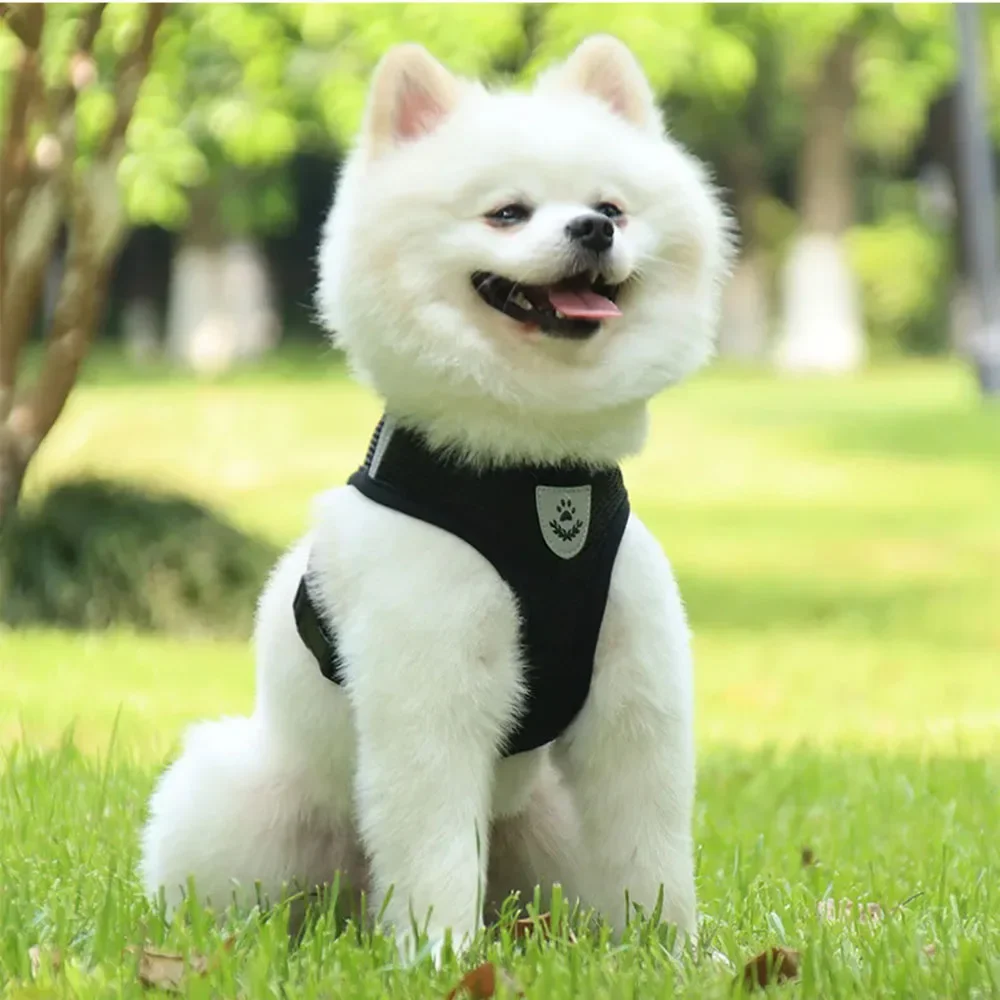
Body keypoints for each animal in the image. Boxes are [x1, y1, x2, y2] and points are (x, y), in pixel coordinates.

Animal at [140, 35, 733, 963]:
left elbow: (653, 845)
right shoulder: (432, 686)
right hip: (242, 799)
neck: (534, 478)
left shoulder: (636, 695)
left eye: (613, 206)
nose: (593, 229)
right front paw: (442, 958)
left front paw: (670, 954)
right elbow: (437, 849)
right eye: (507, 213)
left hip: (548, 830)